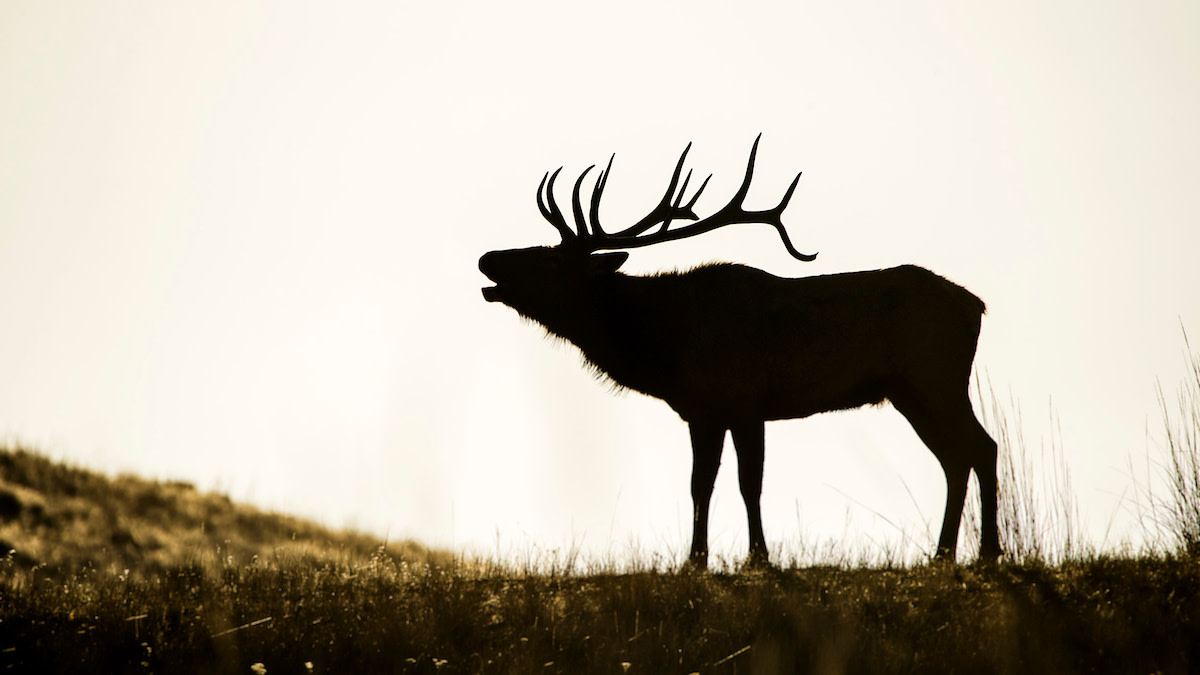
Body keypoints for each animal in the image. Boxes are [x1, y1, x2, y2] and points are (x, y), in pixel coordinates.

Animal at [478, 135, 1001, 567]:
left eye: (549, 261)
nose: (487, 258)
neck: (664, 343)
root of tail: (977, 305)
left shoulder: (743, 402)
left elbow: (745, 483)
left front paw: (750, 558)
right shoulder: (705, 410)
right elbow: (702, 485)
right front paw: (702, 559)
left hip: (934, 379)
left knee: (982, 447)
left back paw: (987, 553)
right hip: (911, 392)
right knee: (956, 458)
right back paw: (943, 555)